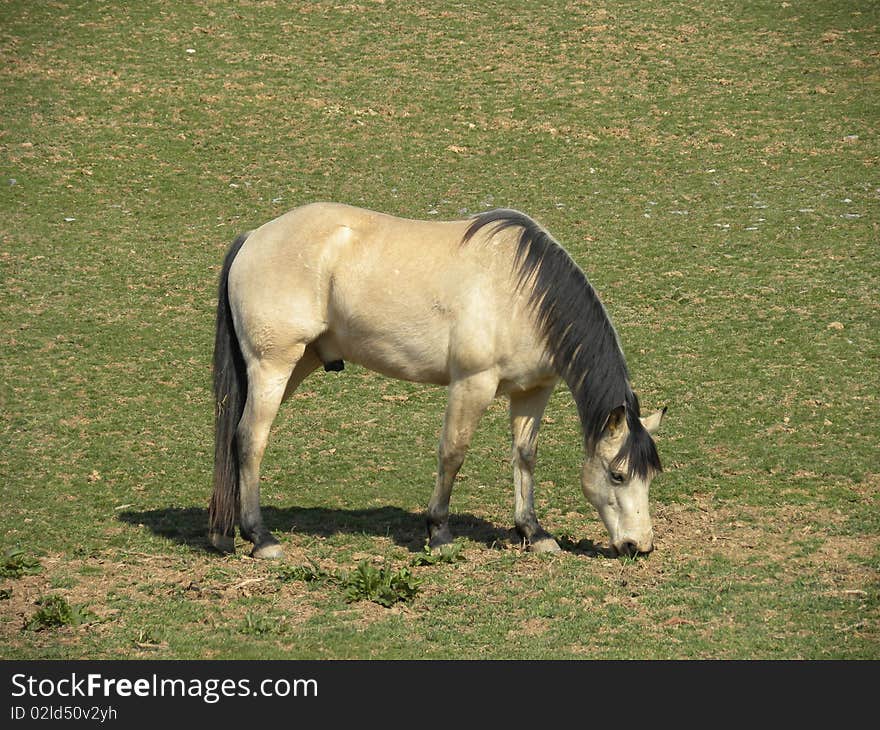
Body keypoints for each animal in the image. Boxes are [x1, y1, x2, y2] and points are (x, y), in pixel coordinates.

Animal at [208, 203, 660, 556]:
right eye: (617, 475)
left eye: (650, 475)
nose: (638, 545)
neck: (524, 292)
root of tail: (254, 237)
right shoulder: (472, 385)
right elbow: (452, 453)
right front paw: (439, 532)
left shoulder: (533, 390)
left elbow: (524, 456)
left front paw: (533, 532)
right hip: (273, 367)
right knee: (249, 439)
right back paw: (261, 537)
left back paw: (224, 532)